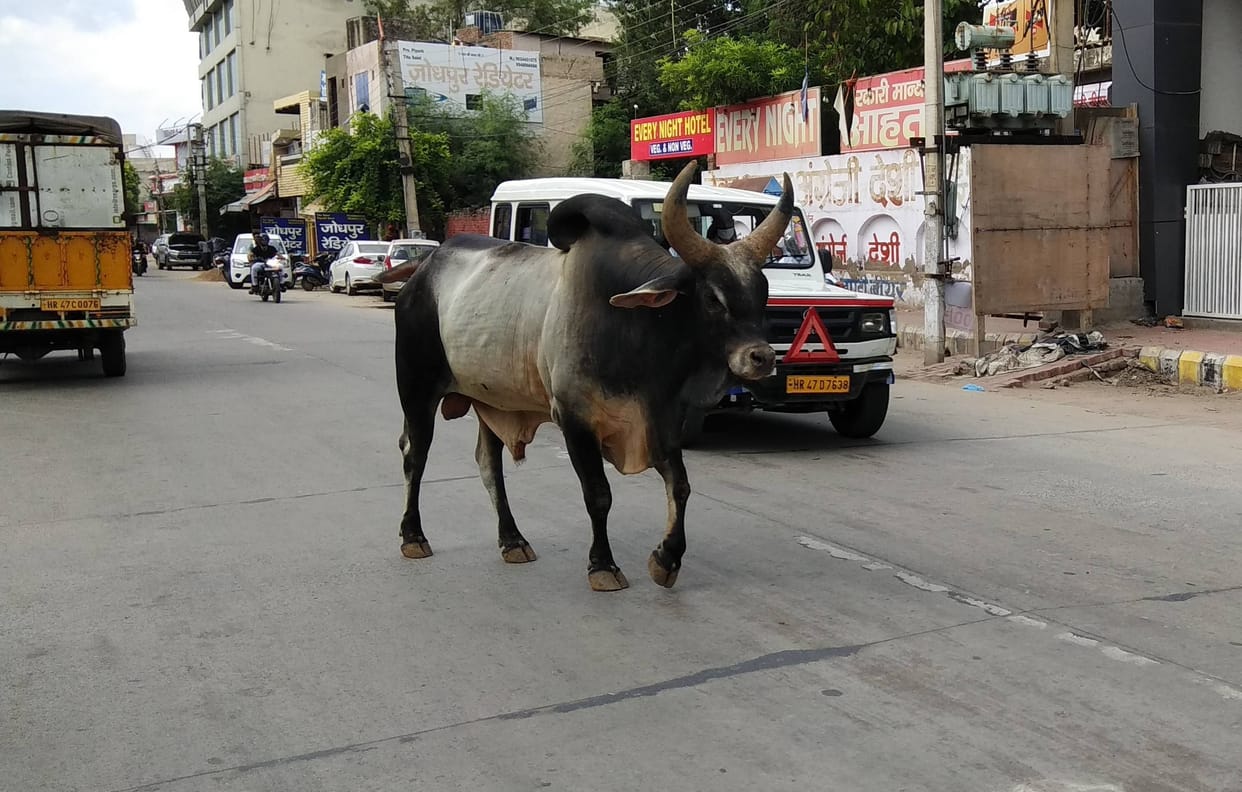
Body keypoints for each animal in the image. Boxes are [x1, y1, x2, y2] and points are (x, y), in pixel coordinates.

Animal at [383, 162, 793, 592]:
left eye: (762, 293)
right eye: (713, 298)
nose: (762, 357)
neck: (637, 328)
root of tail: (423, 269)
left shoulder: (661, 418)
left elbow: (680, 485)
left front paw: (666, 559)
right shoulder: (574, 418)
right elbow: (599, 494)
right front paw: (603, 565)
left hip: (492, 401)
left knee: (487, 463)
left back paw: (512, 540)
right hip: (415, 387)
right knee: (415, 452)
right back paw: (413, 536)